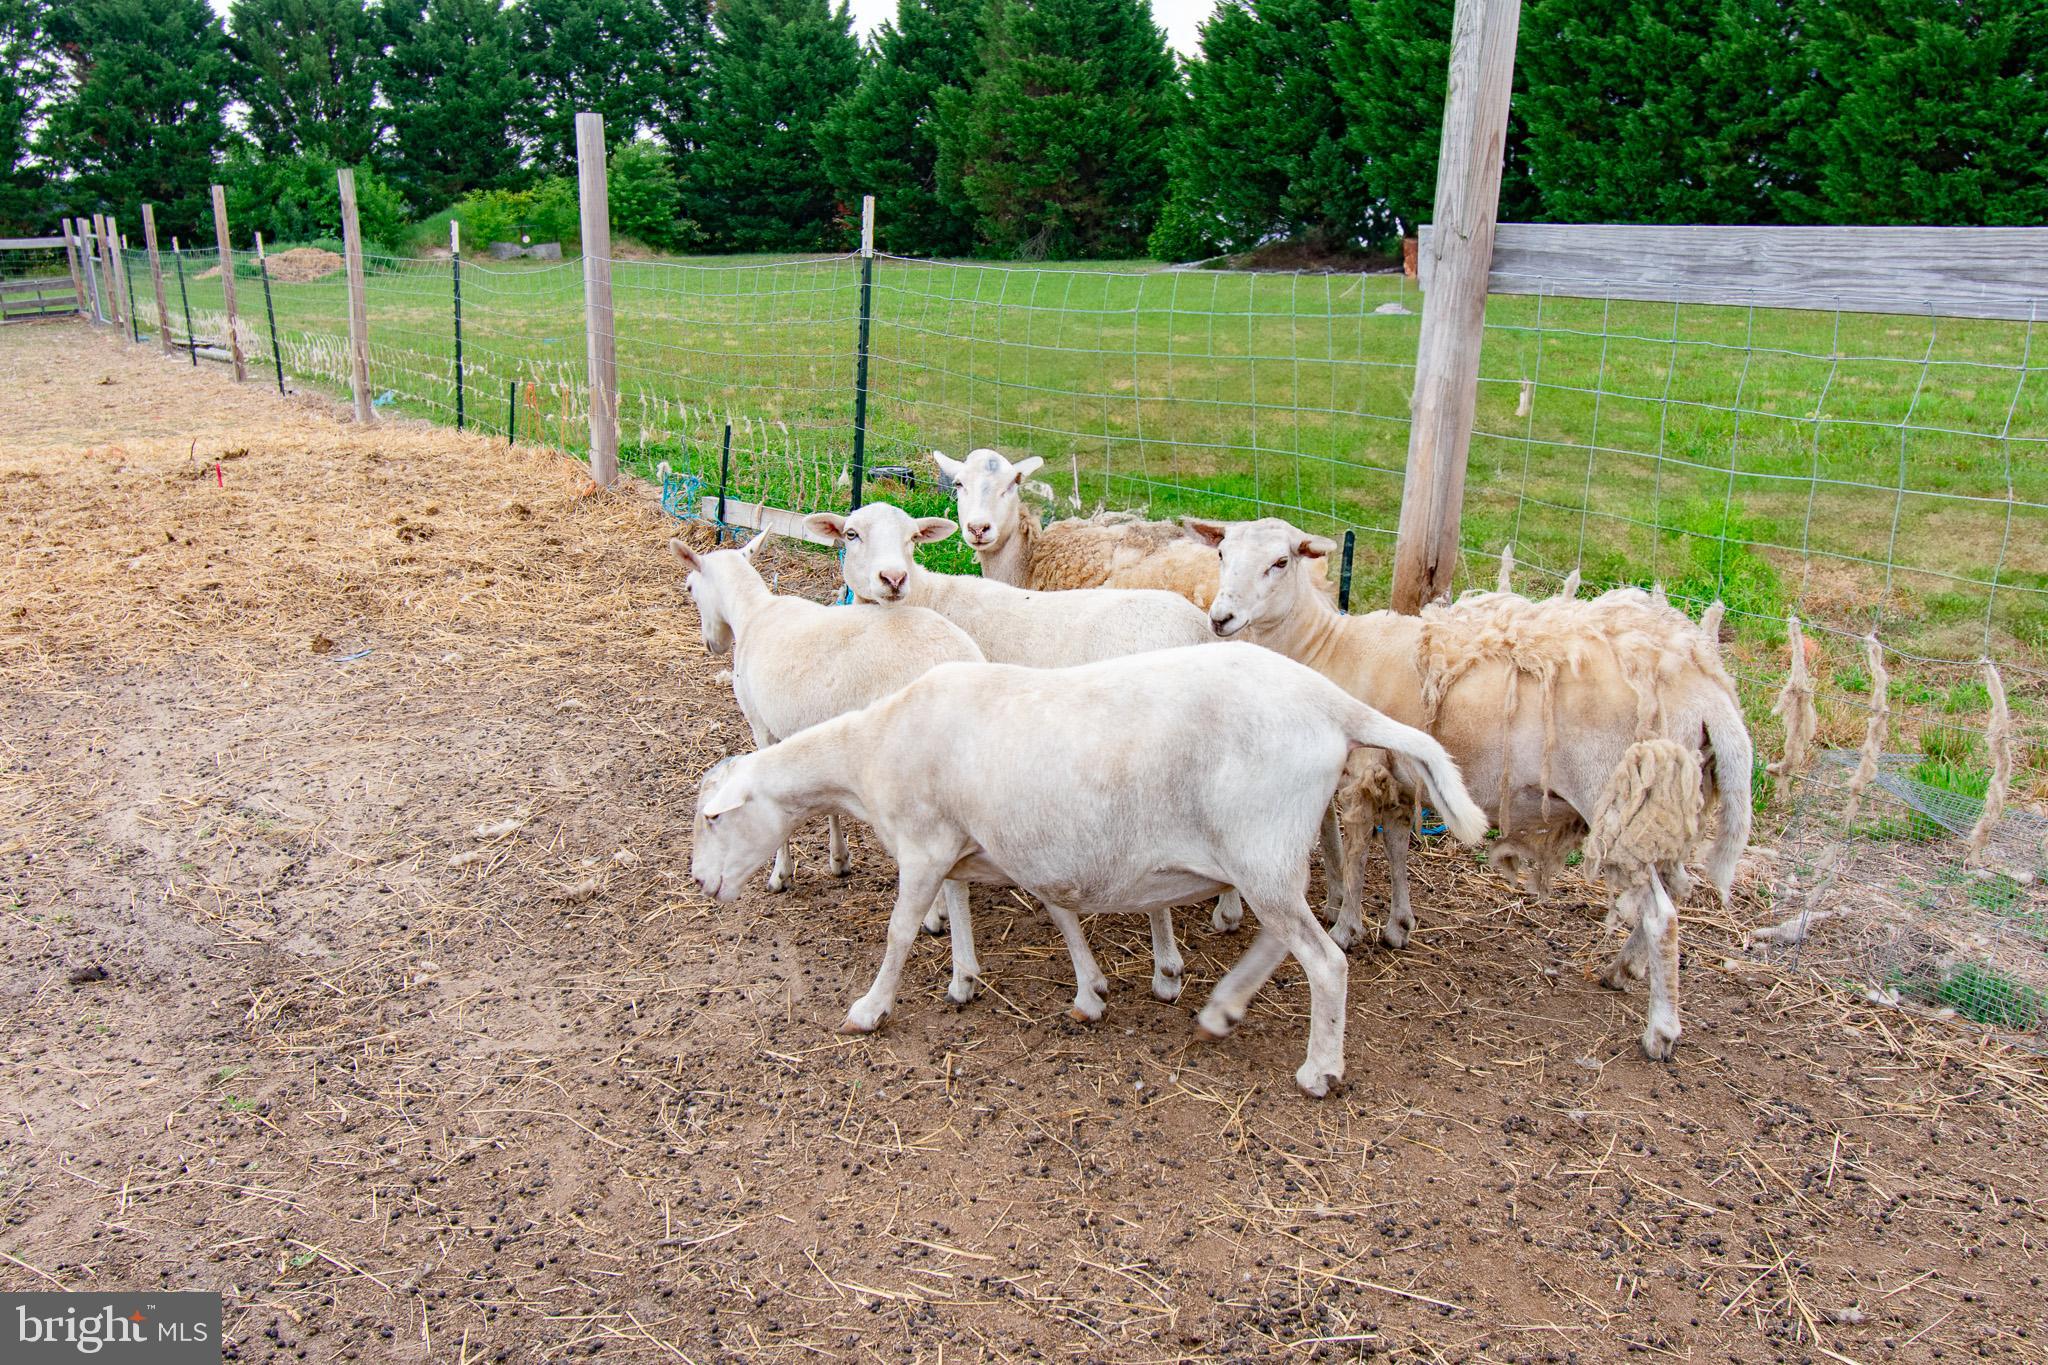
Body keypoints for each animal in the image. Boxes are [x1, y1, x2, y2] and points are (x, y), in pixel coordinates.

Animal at [674, 533, 1120, 1018]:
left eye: (690, 588)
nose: (712, 645)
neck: (754, 611)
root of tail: (959, 654)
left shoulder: (762, 727)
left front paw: (782, 874)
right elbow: (829, 807)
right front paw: (839, 859)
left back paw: (941, 934)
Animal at [687, 642, 1487, 1096]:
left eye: (716, 818)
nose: (702, 883)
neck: (868, 749)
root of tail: (1333, 704)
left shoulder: (921, 842)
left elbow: (901, 933)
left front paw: (870, 1008)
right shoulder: (967, 841)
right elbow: (1027, 908)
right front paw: (1015, 983)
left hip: (1260, 844)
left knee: (1325, 962)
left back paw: (1319, 1070)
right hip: (1266, 853)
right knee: (1278, 938)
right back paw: (1222, 1008)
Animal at [1191, 517, 1753, 1060]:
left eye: (1281, 562)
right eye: (1221, 552)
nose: (1221, 618)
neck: (1326, 646)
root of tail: (1708, 688)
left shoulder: (1364, 771)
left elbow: (1356, 853)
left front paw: (1347, 927)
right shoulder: (1401, 777)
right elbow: (1396, 847)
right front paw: (1398, 925)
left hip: (1613, 796)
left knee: (1661, 914)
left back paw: (1660, 1030)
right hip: (1664, 805)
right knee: (1674, 891)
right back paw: (1624, 970)